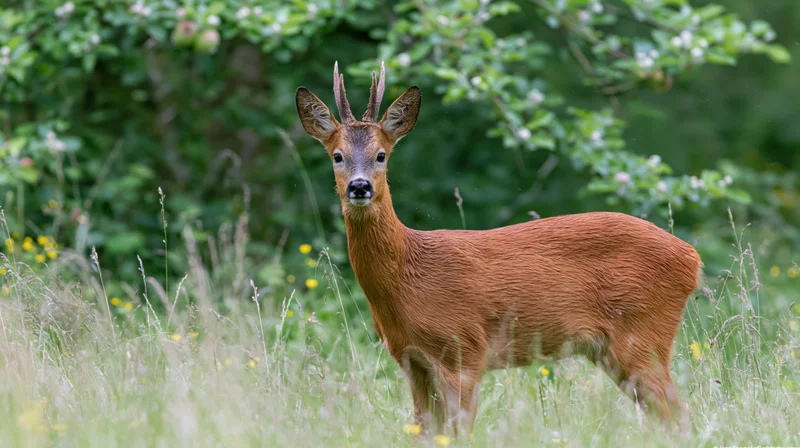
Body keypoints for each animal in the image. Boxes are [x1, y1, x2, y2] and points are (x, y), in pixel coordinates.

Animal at [295, 62, 700, 436]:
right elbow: (424, 431)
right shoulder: (411, 360)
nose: (360, 187)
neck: (408, 273)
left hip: (642, 334)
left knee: (679, 415)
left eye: (381, 155)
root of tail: (691, 257)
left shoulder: (463, 349)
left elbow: (459, 432)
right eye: (337, 155)